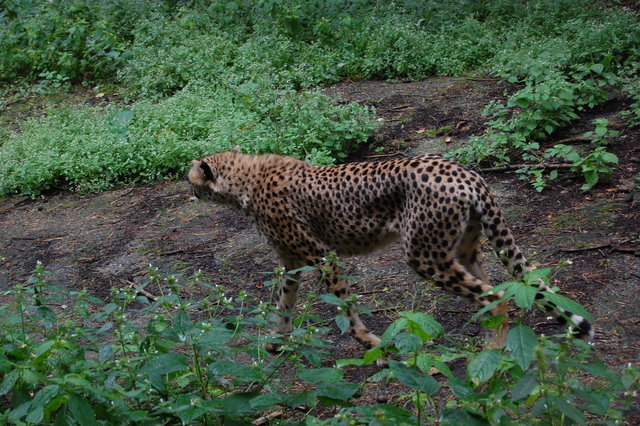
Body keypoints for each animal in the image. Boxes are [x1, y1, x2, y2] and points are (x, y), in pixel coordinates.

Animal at [188, 146, 592, 352]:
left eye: (193, 178)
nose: (189, 189)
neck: (245, 180)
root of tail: (465, 171)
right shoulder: (291, 261)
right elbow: (283, 302)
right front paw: (276, 342)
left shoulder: (322, 256)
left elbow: (346, 312)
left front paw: (373, 345)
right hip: (462, 249)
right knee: (497, 289)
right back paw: (493, 347)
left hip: (425, 255)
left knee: (493, 295)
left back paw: (492, 355)